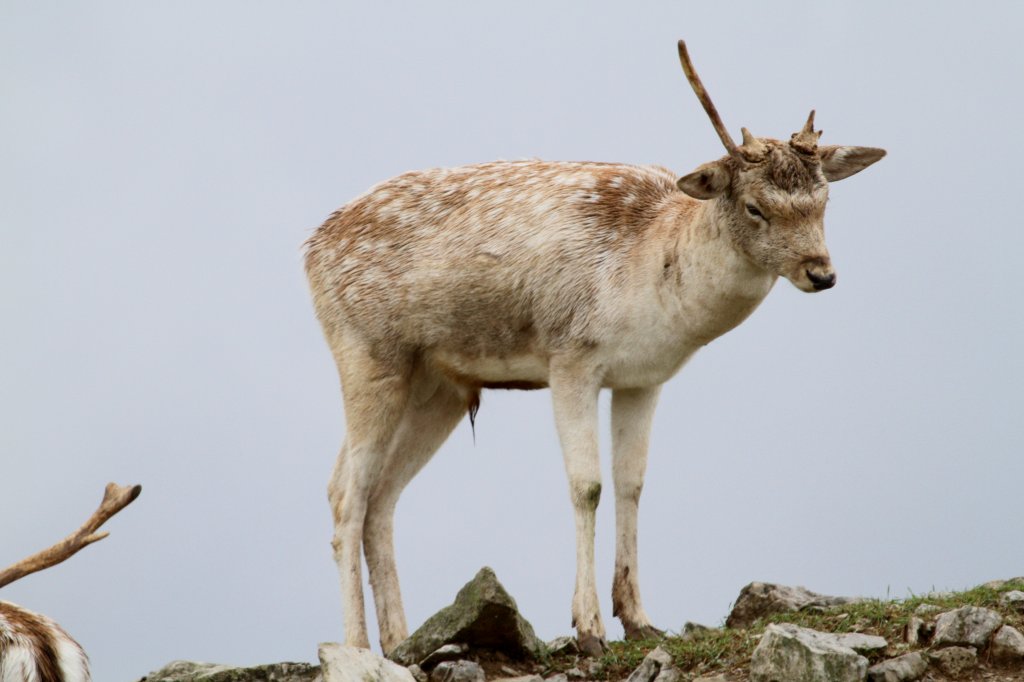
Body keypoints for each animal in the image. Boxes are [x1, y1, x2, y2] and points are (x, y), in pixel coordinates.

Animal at [301, 41, 880, 655]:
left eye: (824, 200)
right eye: (754, 207)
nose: (822, 273)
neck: (653, 271)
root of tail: (309, 248)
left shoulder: (643, 378)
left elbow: (632, 484)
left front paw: (640, 618)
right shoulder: (570, 357)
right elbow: (588, 486)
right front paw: (588, 629)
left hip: (440, 387)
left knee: (380, 496)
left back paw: (401, 643)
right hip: (365, 352)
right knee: (346, 495)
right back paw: (358, 647)